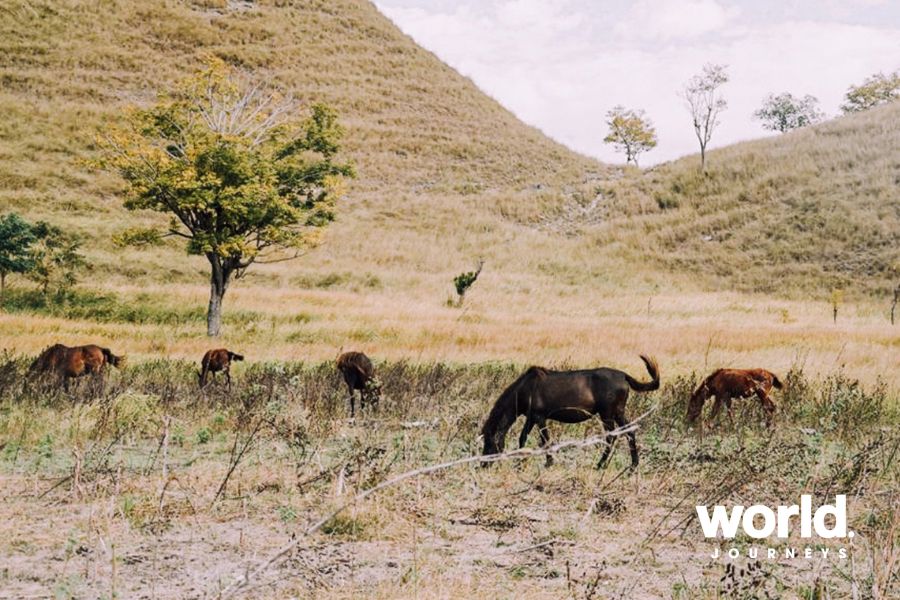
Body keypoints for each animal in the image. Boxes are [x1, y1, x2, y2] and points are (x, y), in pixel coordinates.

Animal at [481, 355, 659, 469]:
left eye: (489, 442)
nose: (483, 464)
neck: (526, 389)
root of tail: (624, 376)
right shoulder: (531, 418)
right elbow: (523, 438)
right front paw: (520, 462)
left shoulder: (540, 417)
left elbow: (545, 440)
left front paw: (548, 463)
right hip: (618, 413)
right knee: (629, 432)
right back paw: (633, 465)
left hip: (607, 414)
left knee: (611, 436)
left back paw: (600, 465)